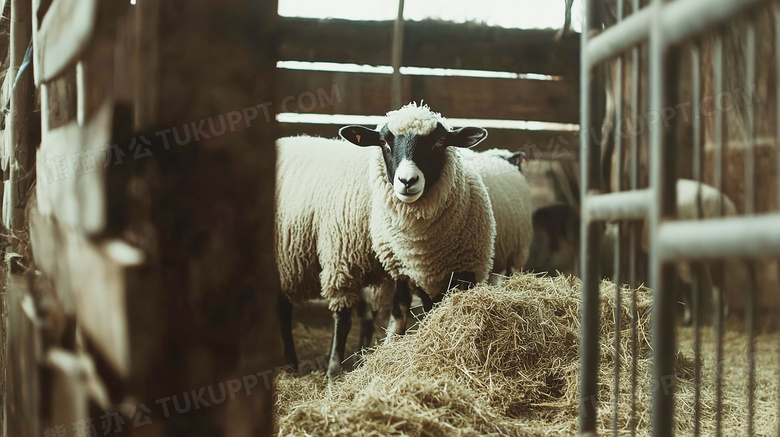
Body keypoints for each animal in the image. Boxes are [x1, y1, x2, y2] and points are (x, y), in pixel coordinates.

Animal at [276, 102, 494, 374]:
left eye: (440, 141)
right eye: (383, 142)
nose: (407, 181)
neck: (425, 246)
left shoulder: (454, 269)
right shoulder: (345, 262)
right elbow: (346, 318)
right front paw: (334, 372)